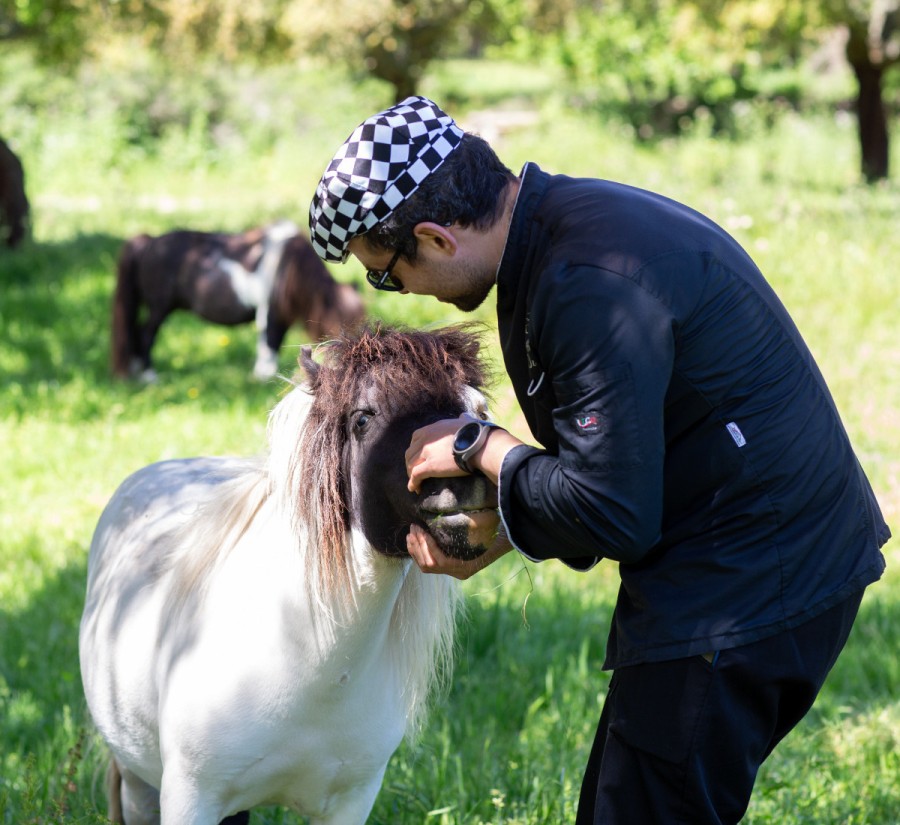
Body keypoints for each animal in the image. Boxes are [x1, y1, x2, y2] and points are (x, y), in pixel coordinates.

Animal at [81, 324, 502, 824]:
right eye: (363, 419)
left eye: (478, 411)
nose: (465, 483)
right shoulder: (190, 798)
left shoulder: (349, 803)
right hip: (138, 783)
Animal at [110, 222, 364, 384]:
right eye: (344, 321)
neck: (289, 265)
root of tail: (149, 243)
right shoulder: (269, 313)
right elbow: (268, 343)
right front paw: (263, 376)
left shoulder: (281, 317)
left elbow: (274, 344)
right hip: (159, 308)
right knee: (145, 335)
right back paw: (149, 375)